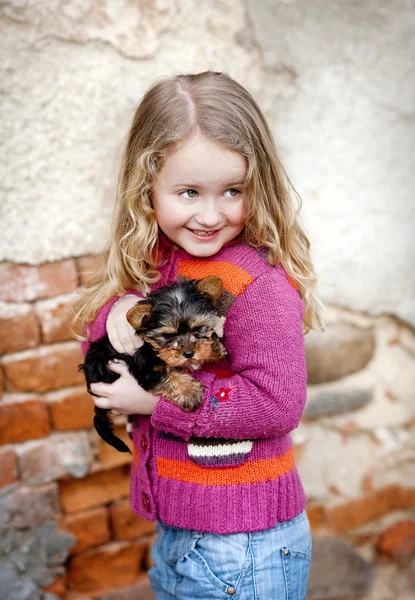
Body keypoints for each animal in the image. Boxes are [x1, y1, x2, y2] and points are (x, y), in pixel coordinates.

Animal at [79, 276, 226, 450]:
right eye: (168, 336)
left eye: (198, 328)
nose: (189, 353)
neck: (150, 345)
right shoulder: (144, 366)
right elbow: (166, 374)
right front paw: (189, 391)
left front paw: (214, 348)